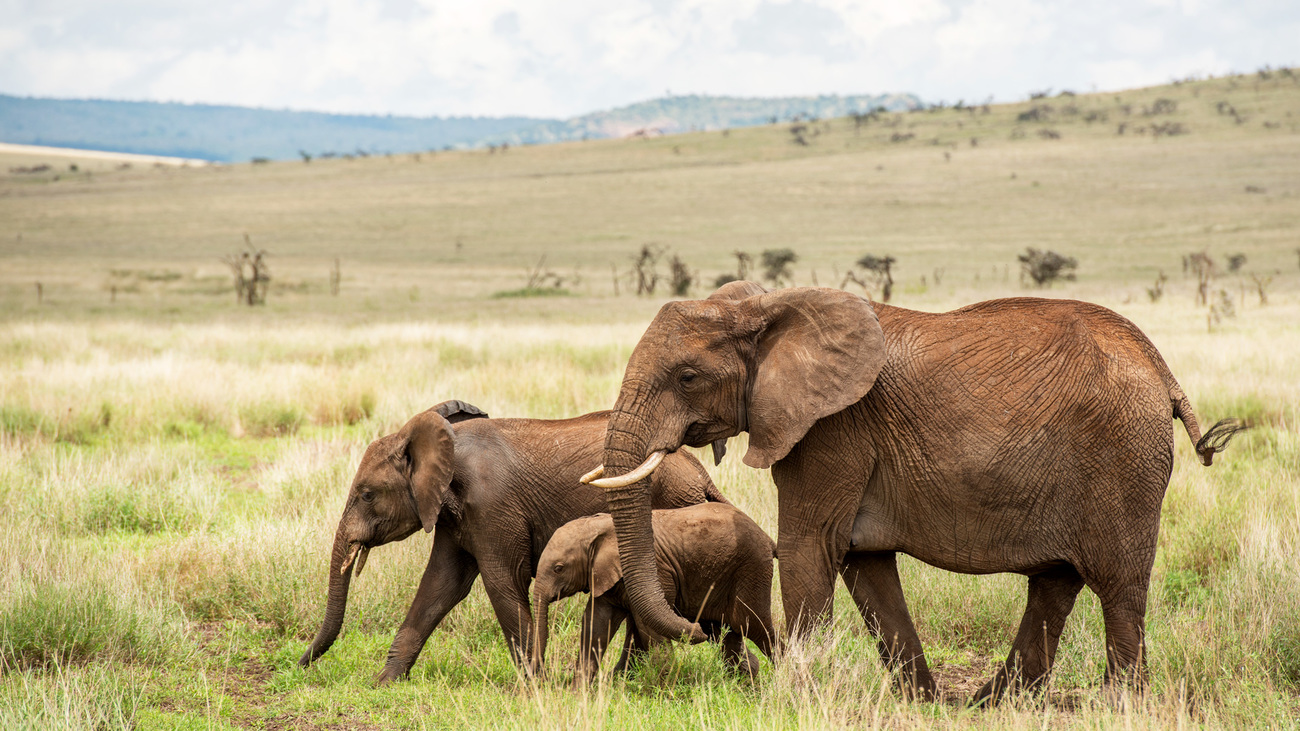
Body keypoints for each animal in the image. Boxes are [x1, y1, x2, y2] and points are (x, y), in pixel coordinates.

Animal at [301, 395, 733, 681]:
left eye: (366, 494)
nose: (301, 664)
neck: (445, 442)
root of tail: (700, 474)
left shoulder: (492, 507)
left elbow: (501, 581)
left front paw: (534, 688)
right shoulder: (453, 514)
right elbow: (441, 585)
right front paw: (386, 683)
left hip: (670, 505)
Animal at [533, 496, 774, 681]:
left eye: (558, 568)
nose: (543, 676)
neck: (599, 529)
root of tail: (767, 538)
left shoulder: (657, 573)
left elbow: (647, 628)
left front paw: (665, 687)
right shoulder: (605, 578)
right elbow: (596, 625)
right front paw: (580, 692)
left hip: (753, 569)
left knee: (754, 625)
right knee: (725, 633)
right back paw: (746, 684)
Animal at [585, 279, 1242, 702]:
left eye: (687, 377)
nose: (698, 627)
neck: (769, 306)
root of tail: (1161, 368)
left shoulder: (832, 430)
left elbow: (807, 548)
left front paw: (795, 699)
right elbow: (864, 563)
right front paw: (917, 701)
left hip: (1122, 462)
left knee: (1118, 587)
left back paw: (1118, 705)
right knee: (1056, 583)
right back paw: (991, 704)